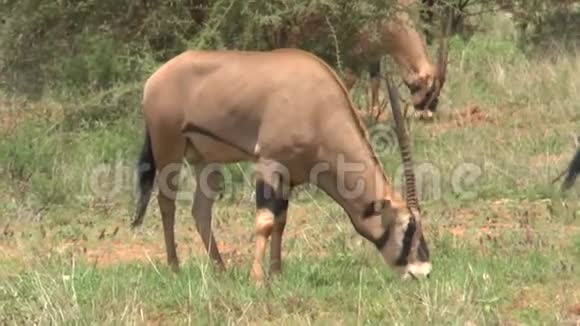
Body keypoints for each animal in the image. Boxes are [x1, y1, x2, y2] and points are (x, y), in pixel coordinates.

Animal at [131, 47, 430, 282]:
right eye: (408, 228)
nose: (423, 271)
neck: (320, 107)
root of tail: (155, 78)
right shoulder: (269, 164)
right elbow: (265, 221)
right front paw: (257, 278)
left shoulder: (290, 176)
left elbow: (281, 222)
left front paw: (276, 273)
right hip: (168, 149)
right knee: (166, 203)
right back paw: (174, 268)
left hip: (204, 160)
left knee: (201, 210)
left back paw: (220, 271)